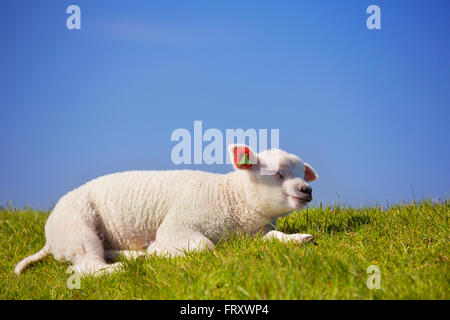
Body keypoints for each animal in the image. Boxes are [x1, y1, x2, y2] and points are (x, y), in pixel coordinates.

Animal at [14, 144, 316, 276]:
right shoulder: (178, 226)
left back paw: (129, 255)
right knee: (88, 266)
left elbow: (274, 238)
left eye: (302, 173)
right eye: (277, 174)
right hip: (77, 227)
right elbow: (204, 246)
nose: (306, 190)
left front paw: (300, 238)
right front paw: (160, 251)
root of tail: (49, 240)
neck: (231, 198)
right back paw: (121, 266)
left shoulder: (255, 233)